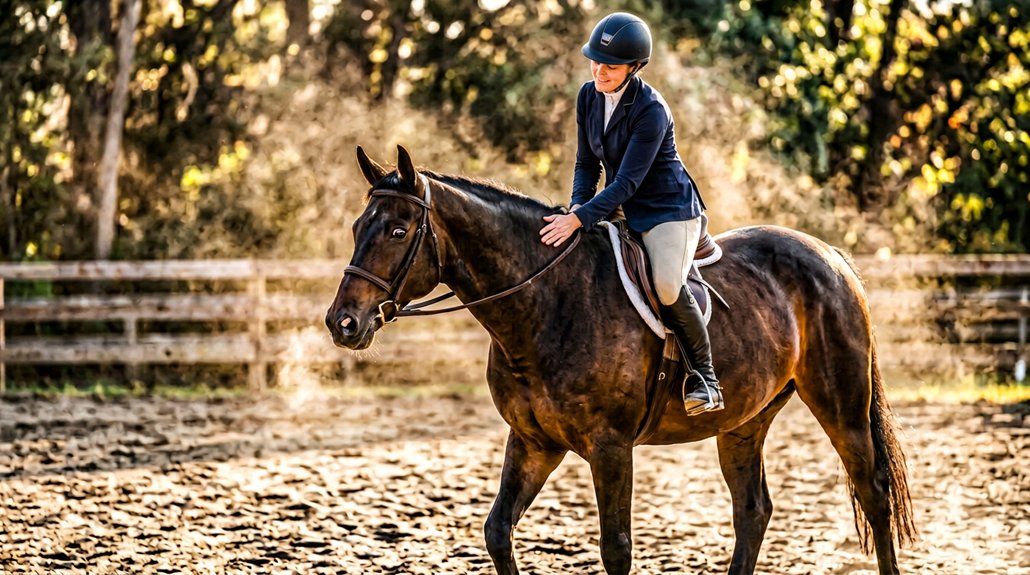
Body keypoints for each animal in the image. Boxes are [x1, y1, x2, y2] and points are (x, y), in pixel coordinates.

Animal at [326, 145, 916, 575]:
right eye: (357, 228)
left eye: (398, 230)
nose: (342, 323)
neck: (547, 302)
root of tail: (829, 254)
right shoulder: (534, 442)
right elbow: (497, 533)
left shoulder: (610, 448)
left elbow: (616, 548)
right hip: (744, 421)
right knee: (752, 511)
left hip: (841, 406)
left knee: (874, 496)